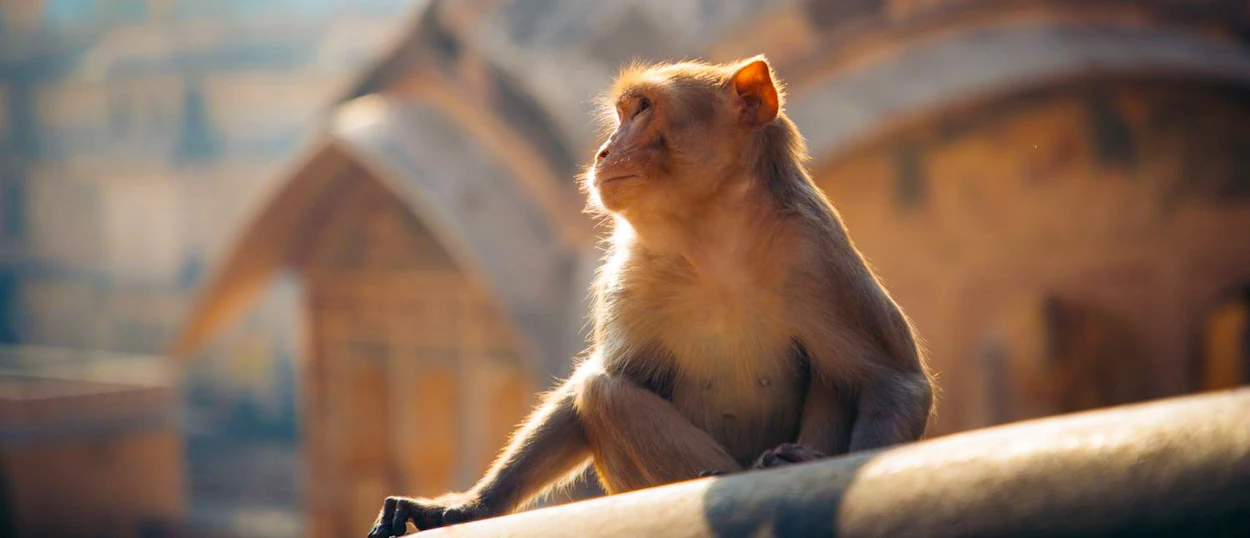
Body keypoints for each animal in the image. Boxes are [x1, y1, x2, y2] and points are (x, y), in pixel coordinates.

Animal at [368, 55, 934, 537]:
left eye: (642, 109)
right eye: (623, 112)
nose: (603, 151)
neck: (714, 242)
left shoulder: (817, 253)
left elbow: (892, 379)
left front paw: (819, 464)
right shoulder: (630, 274)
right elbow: (601, 383)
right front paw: (469, 505)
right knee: (604, 391)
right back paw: (717, 474)